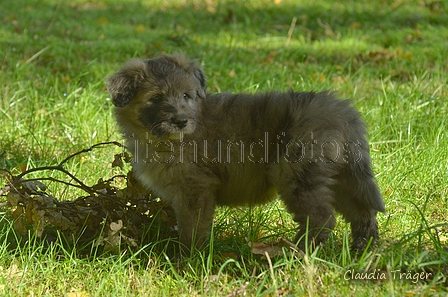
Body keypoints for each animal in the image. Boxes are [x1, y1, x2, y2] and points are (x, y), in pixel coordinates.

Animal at [107, 53, 384, 252]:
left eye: (186, 95)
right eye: (156, 98)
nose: (181, 121)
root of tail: (342, 112)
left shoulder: (196, 189)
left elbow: (192, 227)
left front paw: (187, 258)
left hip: (297, 174)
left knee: (320, 218)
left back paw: (298, 253)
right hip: (342, 177)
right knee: (362, 212)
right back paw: (363, 249)